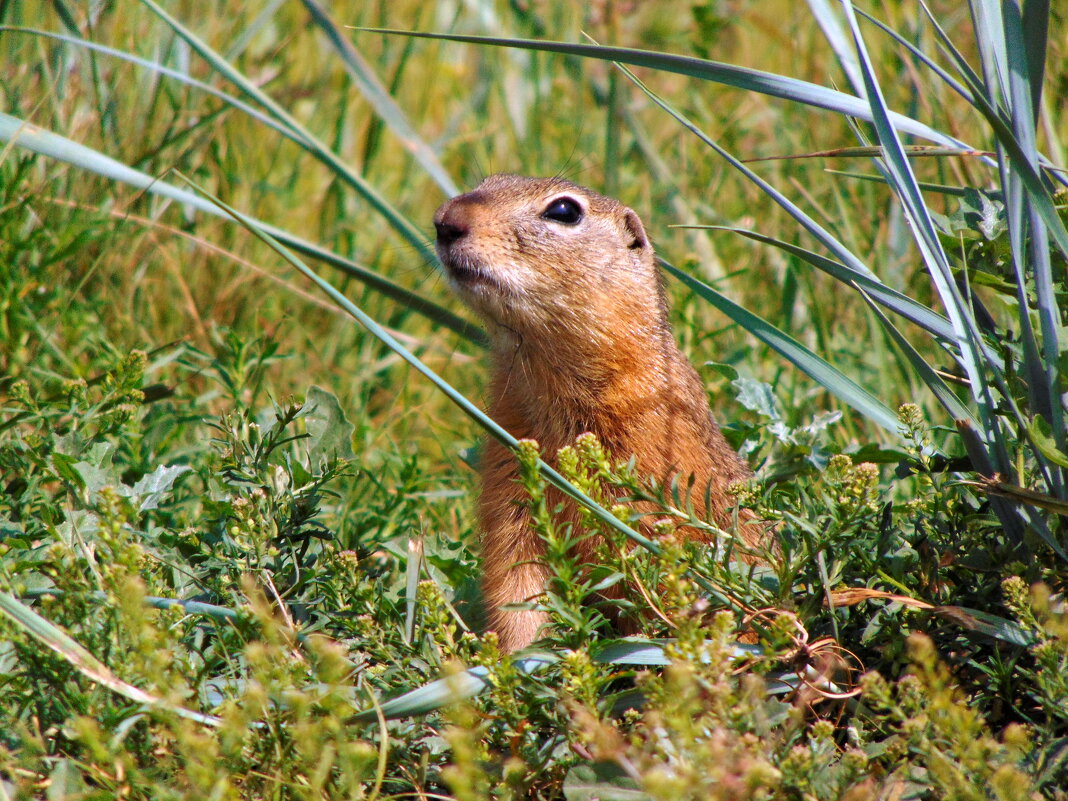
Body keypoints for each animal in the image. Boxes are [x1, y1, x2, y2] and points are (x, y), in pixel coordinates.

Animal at [433, 174, 760, 653]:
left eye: (564, 211)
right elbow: (518, 586)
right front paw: (519, 657)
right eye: (484, 182)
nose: (445, 221)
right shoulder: (509, 484)